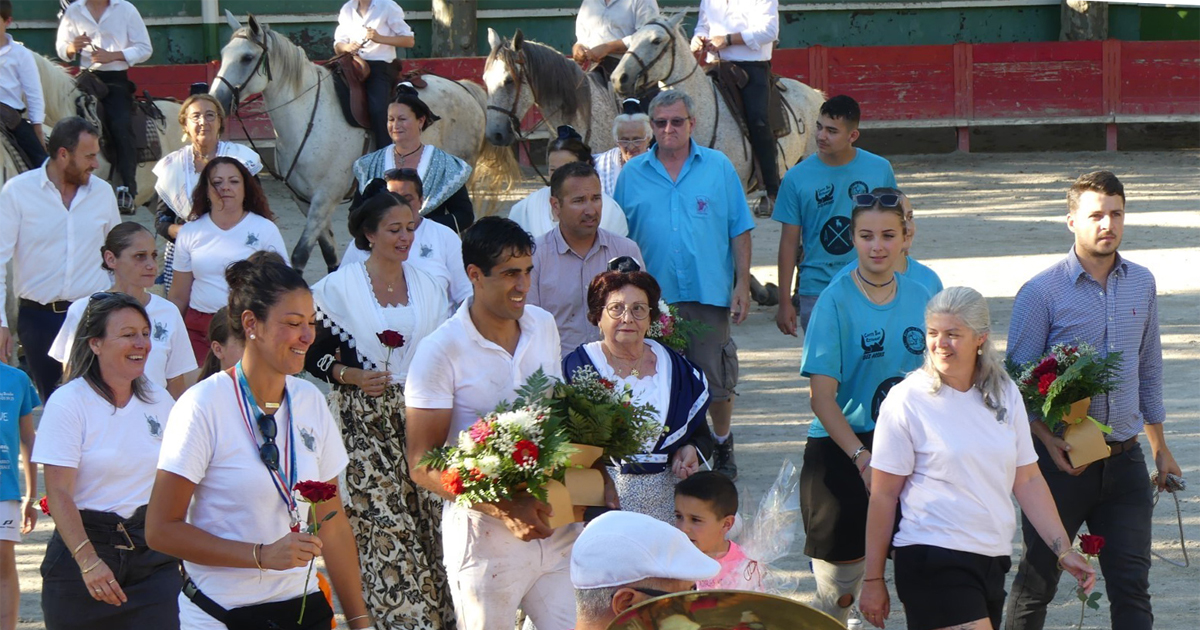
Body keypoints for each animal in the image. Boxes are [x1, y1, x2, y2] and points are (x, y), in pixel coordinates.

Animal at [216, 13, 516, 271]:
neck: (307, 115)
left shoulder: (325, 197)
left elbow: (300, 254)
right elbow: (329, 254)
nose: (217, 99)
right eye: (223, 55)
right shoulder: (304, 200)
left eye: (247, 57)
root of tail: (464, 87)